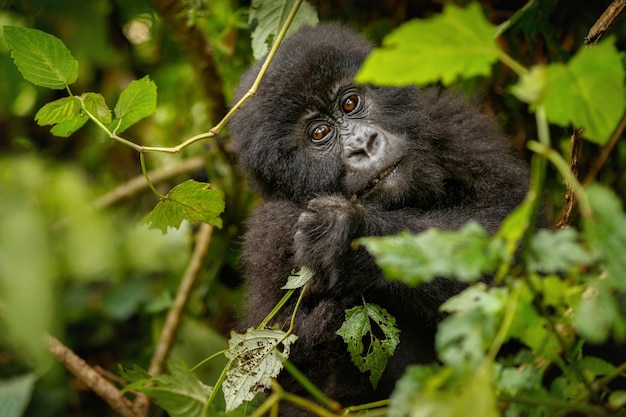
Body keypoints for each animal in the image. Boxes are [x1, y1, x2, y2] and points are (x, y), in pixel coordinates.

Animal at [227, 23, 528, 416]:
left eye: (349, 103)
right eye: (319, 133)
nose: (364, 145)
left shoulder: (454, 124)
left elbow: (508, 227)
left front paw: (349, 234)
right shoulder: (271, 233)